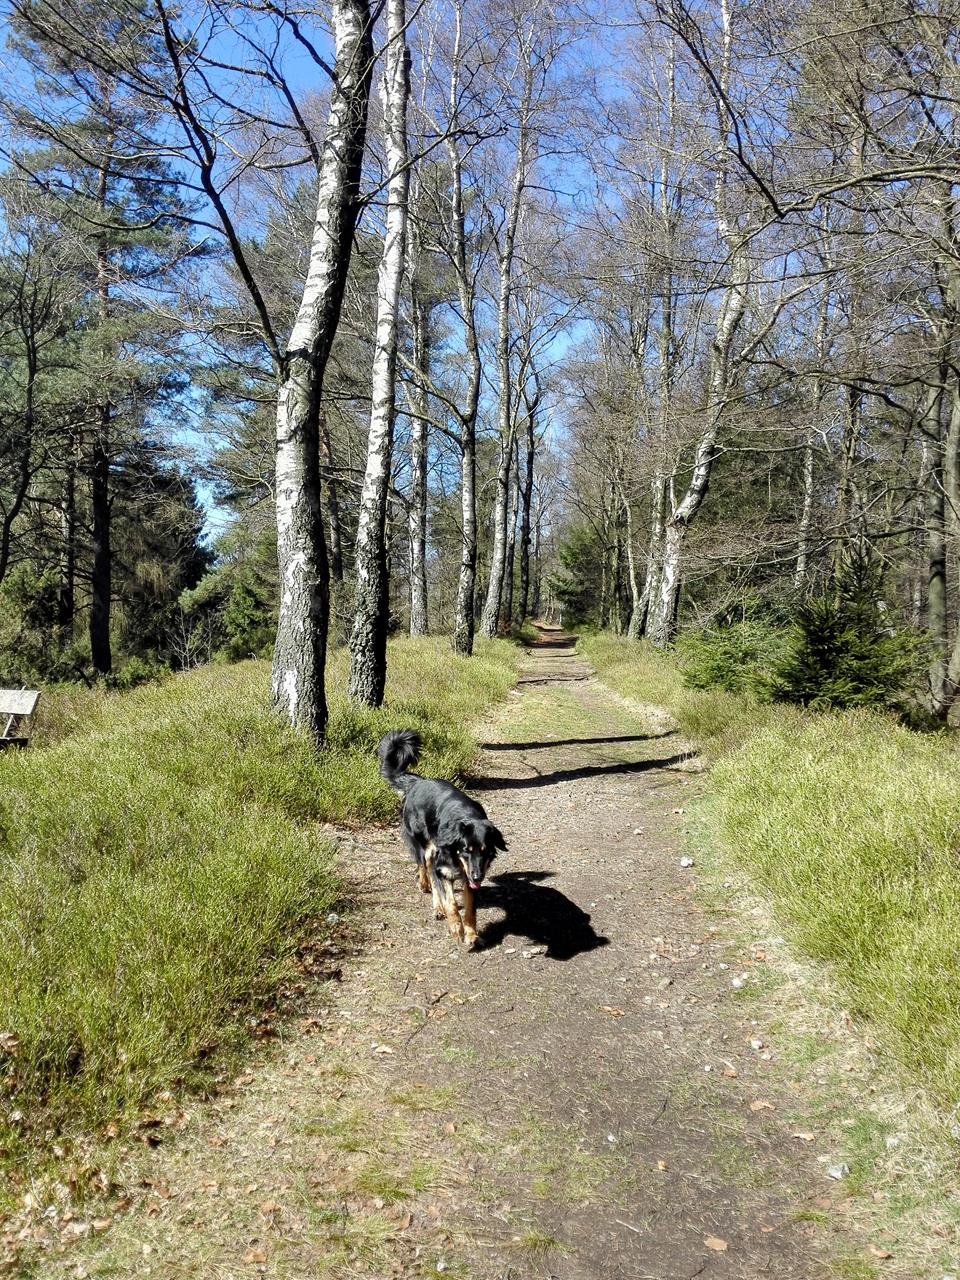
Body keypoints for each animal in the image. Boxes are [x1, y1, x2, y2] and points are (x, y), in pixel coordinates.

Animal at [378, 729, 507, 949]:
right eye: (466, 850)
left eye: (484, 851)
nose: (477, 876)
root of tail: (418, 782)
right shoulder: (443, 869)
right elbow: (451, 902)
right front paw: (456, 927)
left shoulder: (468, 880)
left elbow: (470, 909)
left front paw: (471, 934)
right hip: (423, 845)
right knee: (424, 868)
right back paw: (427, 891)